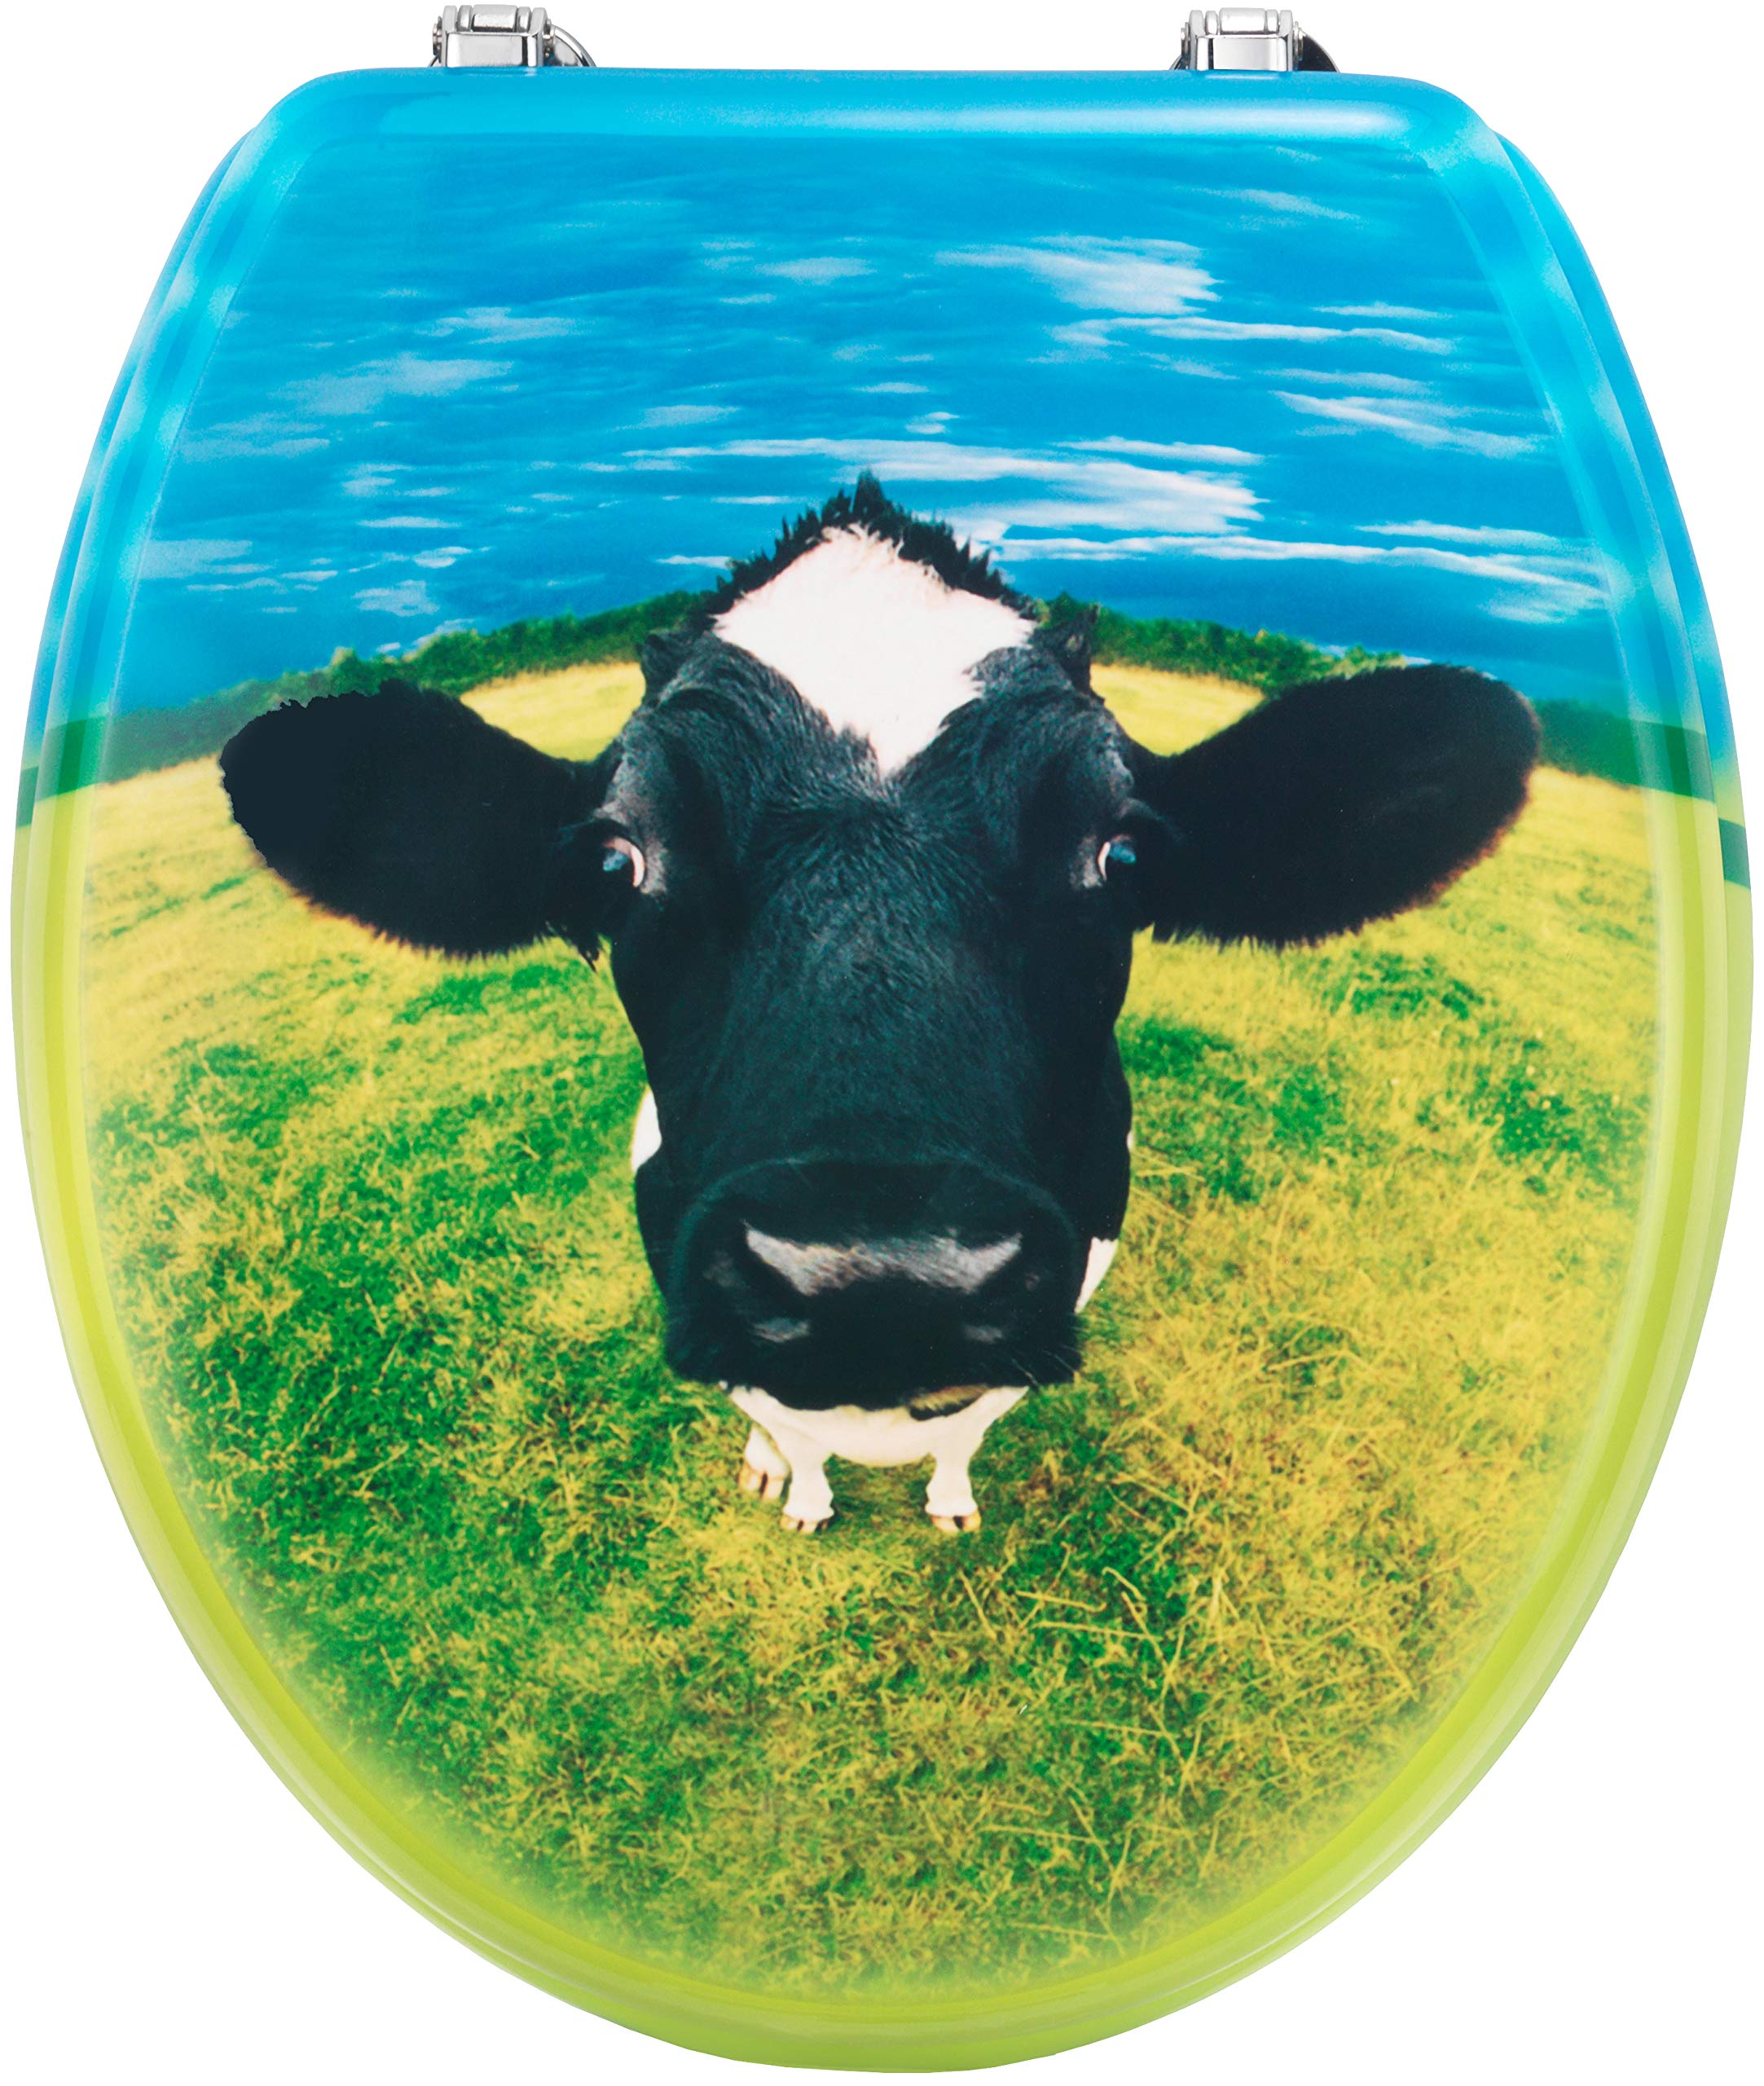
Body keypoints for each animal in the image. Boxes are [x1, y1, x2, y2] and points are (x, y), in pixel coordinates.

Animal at [221, 475, 1537, 1535]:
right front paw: (799, 1492)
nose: (881, 1278)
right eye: (615, 861)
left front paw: (948, 1498)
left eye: (1119, 856)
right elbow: (790, 1424)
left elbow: (968, 1423)